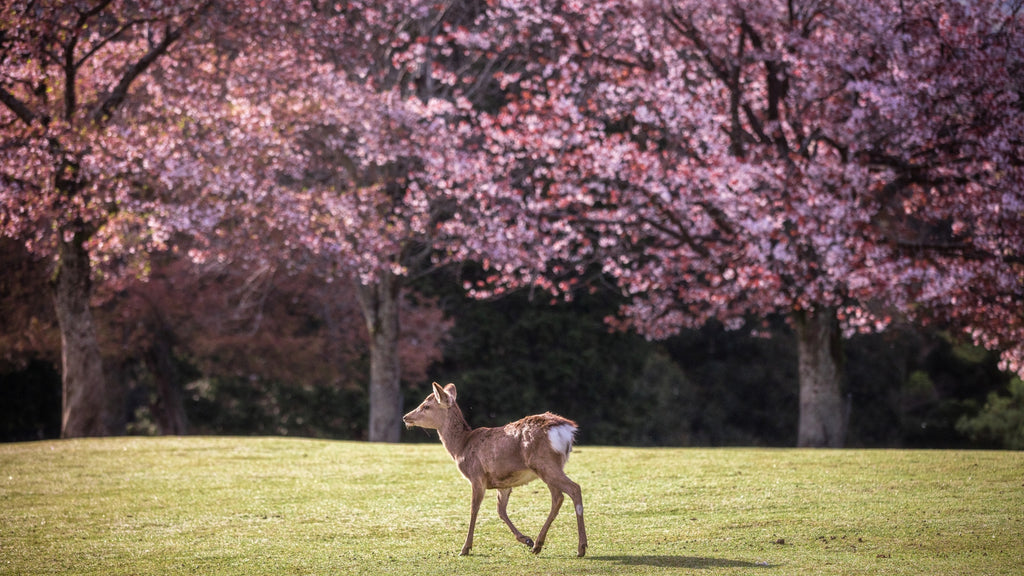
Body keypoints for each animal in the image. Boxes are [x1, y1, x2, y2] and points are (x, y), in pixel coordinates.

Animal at [403, 381, 589, 557]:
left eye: (426, 406)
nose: (405, 417)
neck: (461, 448)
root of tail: (566, 429)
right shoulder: (503, 482)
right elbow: (501, 511)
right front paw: (525, 539)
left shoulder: (477, 475)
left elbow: (474, 509)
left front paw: (465, 548)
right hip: (550, 466)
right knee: (558, 497)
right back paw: (538, 544)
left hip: (545, 464)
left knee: (573, 489)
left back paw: (579, 547)